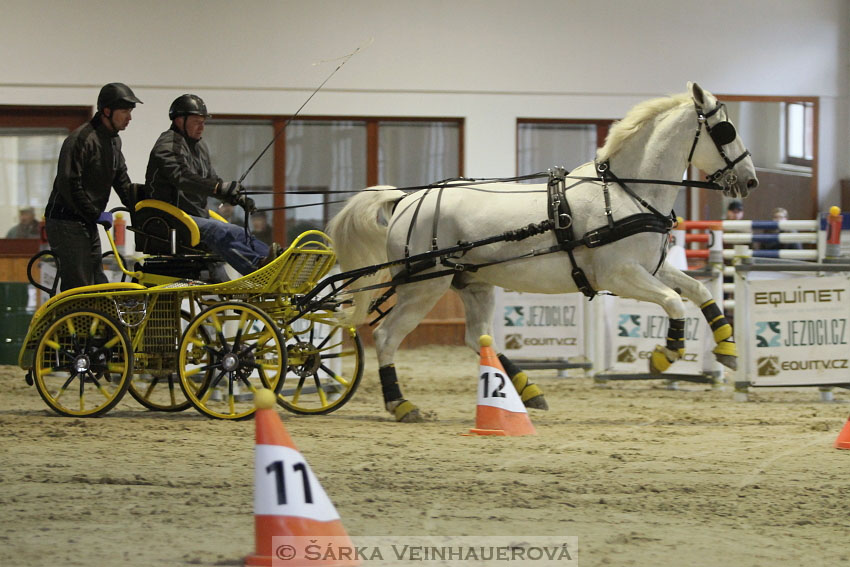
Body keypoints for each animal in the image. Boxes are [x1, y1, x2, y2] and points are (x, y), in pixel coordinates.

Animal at [324, 83, 756, 422]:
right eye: (725, 130)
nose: (750, 180)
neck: (625, 192)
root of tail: (408, 199)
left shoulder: (650, 268)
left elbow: (699, 292)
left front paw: (728, 350)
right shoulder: (620, 275)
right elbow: (674, 302)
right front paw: (664, 356)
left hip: (473, 284)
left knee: (478, 338)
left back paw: (527, 390)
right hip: (423, 287)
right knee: (386, 336)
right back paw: (400, 404)